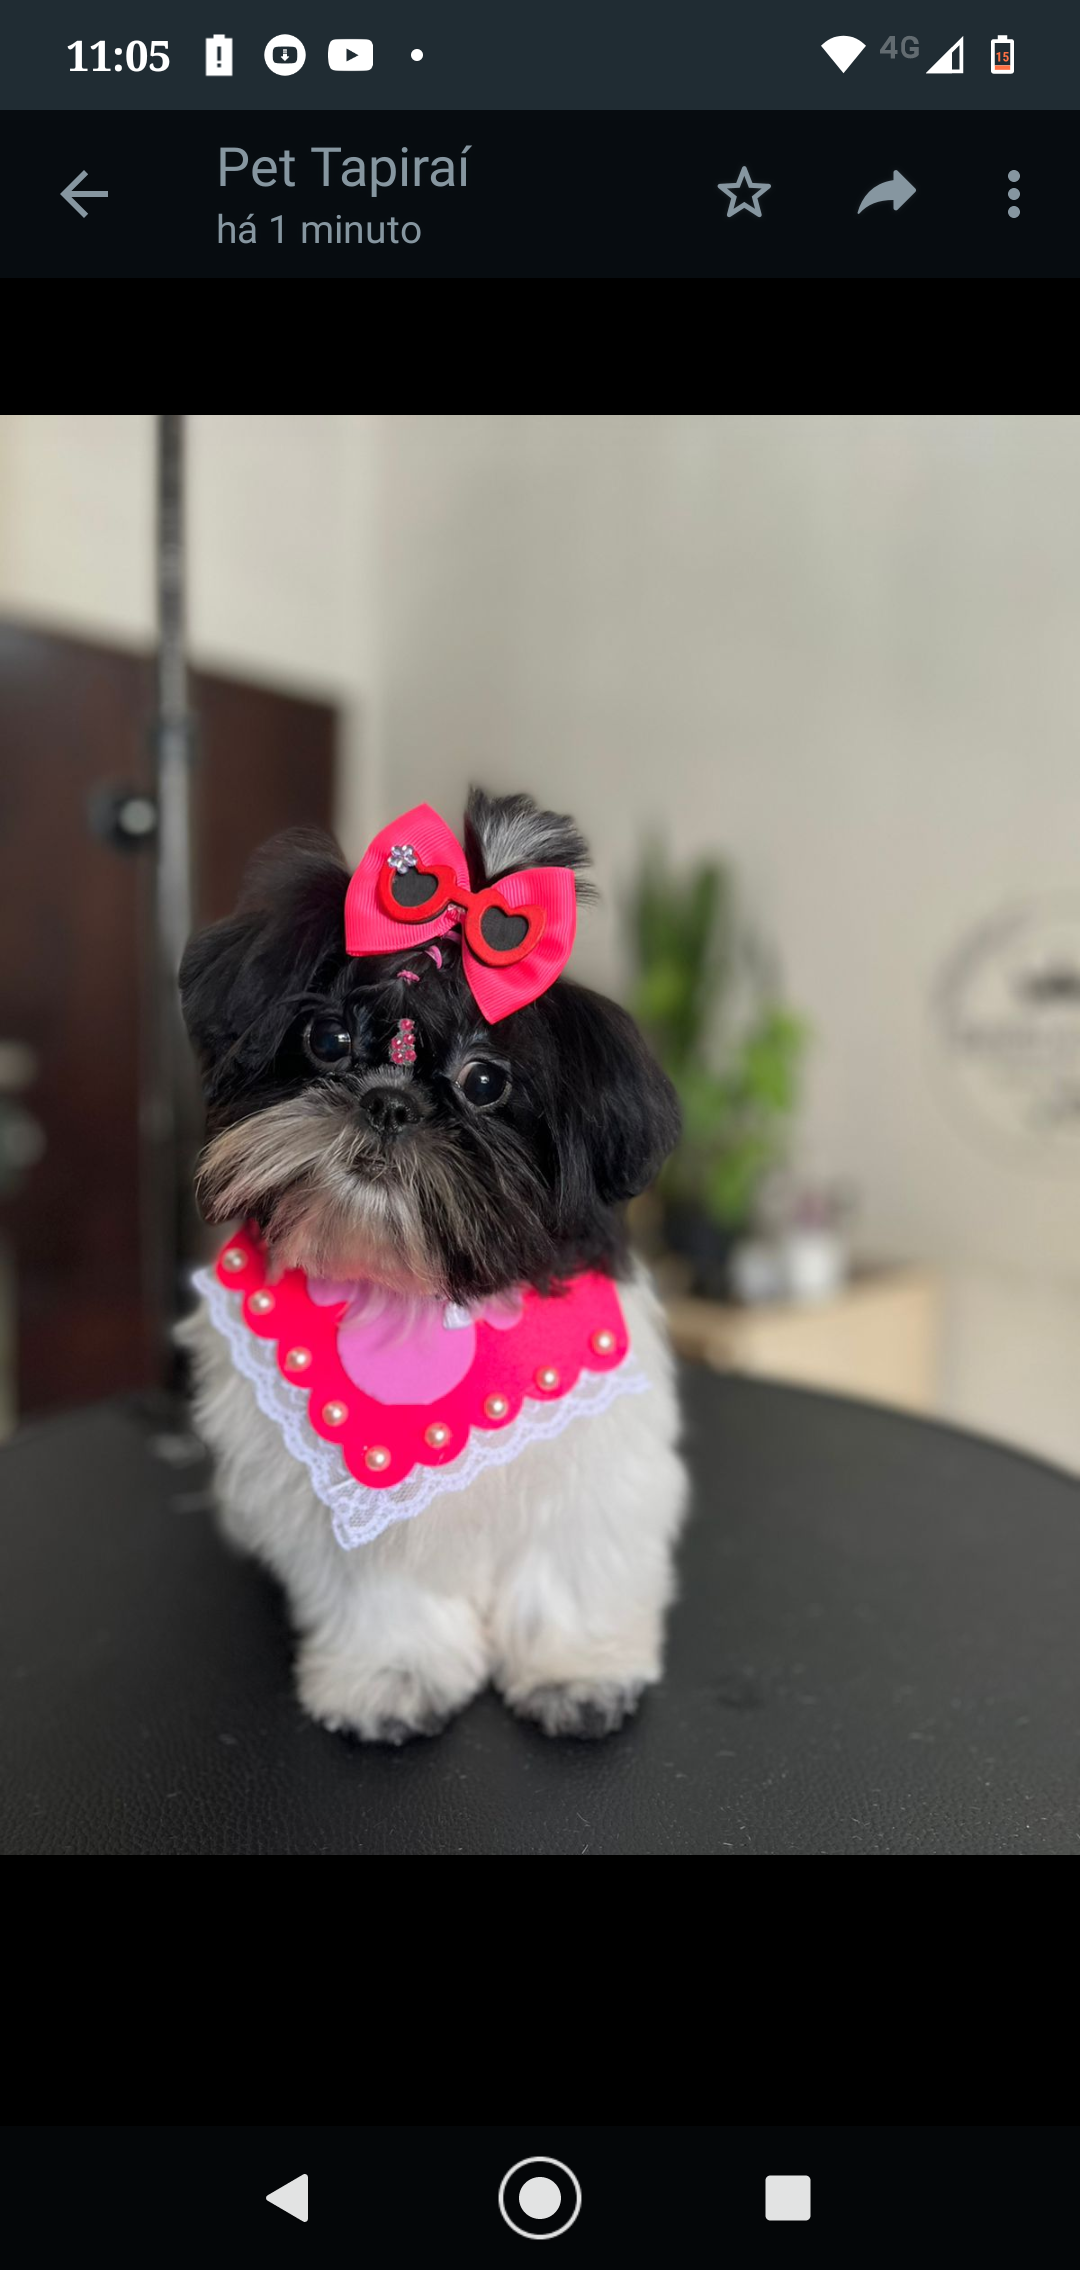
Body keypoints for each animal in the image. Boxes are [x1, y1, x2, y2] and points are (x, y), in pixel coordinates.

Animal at [178, 789, 688, 1743]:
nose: (388, 1101)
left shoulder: (594, 1467)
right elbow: (382, 1588)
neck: (414, 1287)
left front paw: (576, 1669)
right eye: (329, 1036)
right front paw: (393, 1674)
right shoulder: (345, 1503)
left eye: (486, 1082)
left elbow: (570, 1565)